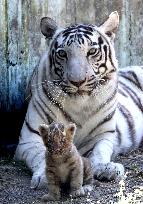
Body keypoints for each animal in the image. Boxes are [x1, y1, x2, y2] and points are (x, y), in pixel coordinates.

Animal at [14, 11, 143, 188]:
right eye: (62, 53)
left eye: (92, 51)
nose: (77, 81)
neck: (79, 106)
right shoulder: (29, 139)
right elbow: (42, 155)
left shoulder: (102, 136)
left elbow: (98, 152)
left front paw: (107, 168)